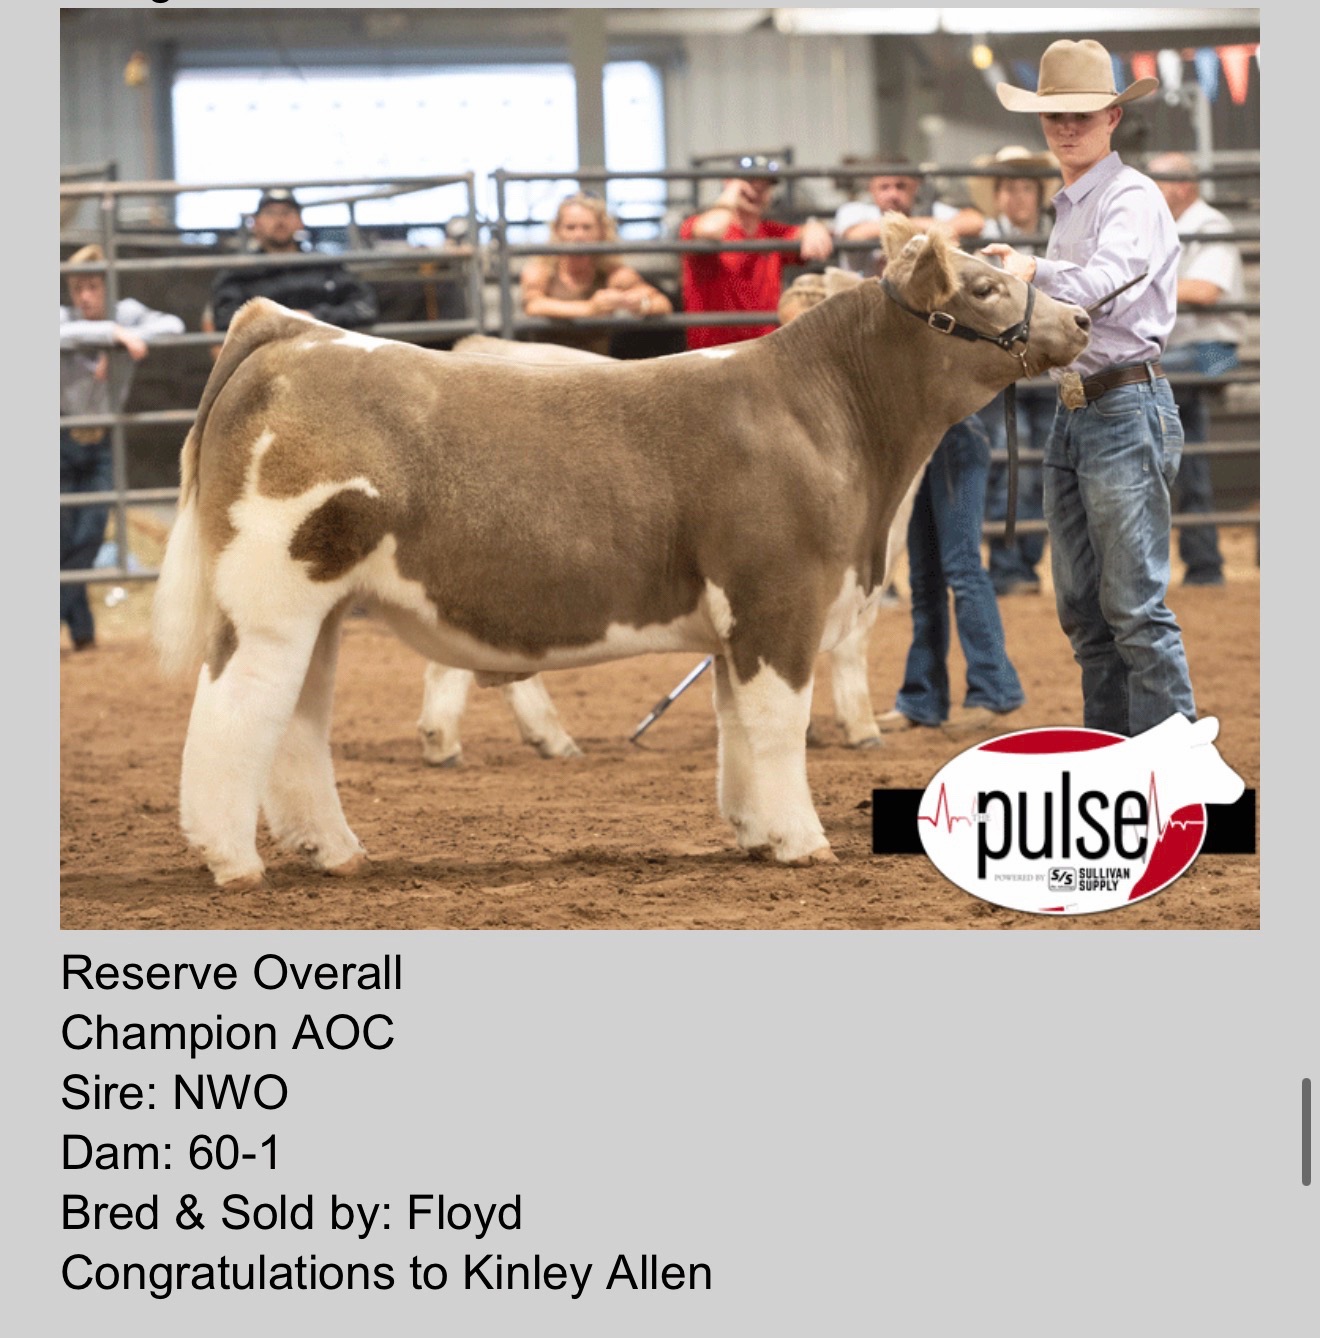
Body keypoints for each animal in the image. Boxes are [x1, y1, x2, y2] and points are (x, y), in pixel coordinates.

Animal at [152, 215, 1090, 888]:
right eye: (985, 285)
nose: (1082, 317)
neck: (833, 416)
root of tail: (294, 332)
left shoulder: (739, 623)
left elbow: (735, 726)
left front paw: (755, 832)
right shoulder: (782, 598)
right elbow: (778, 724)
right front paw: (801, 839)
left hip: (321, 608)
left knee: (296, 721)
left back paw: (334, 849)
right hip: (272, 598)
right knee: (235, 712)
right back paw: (232, 860)